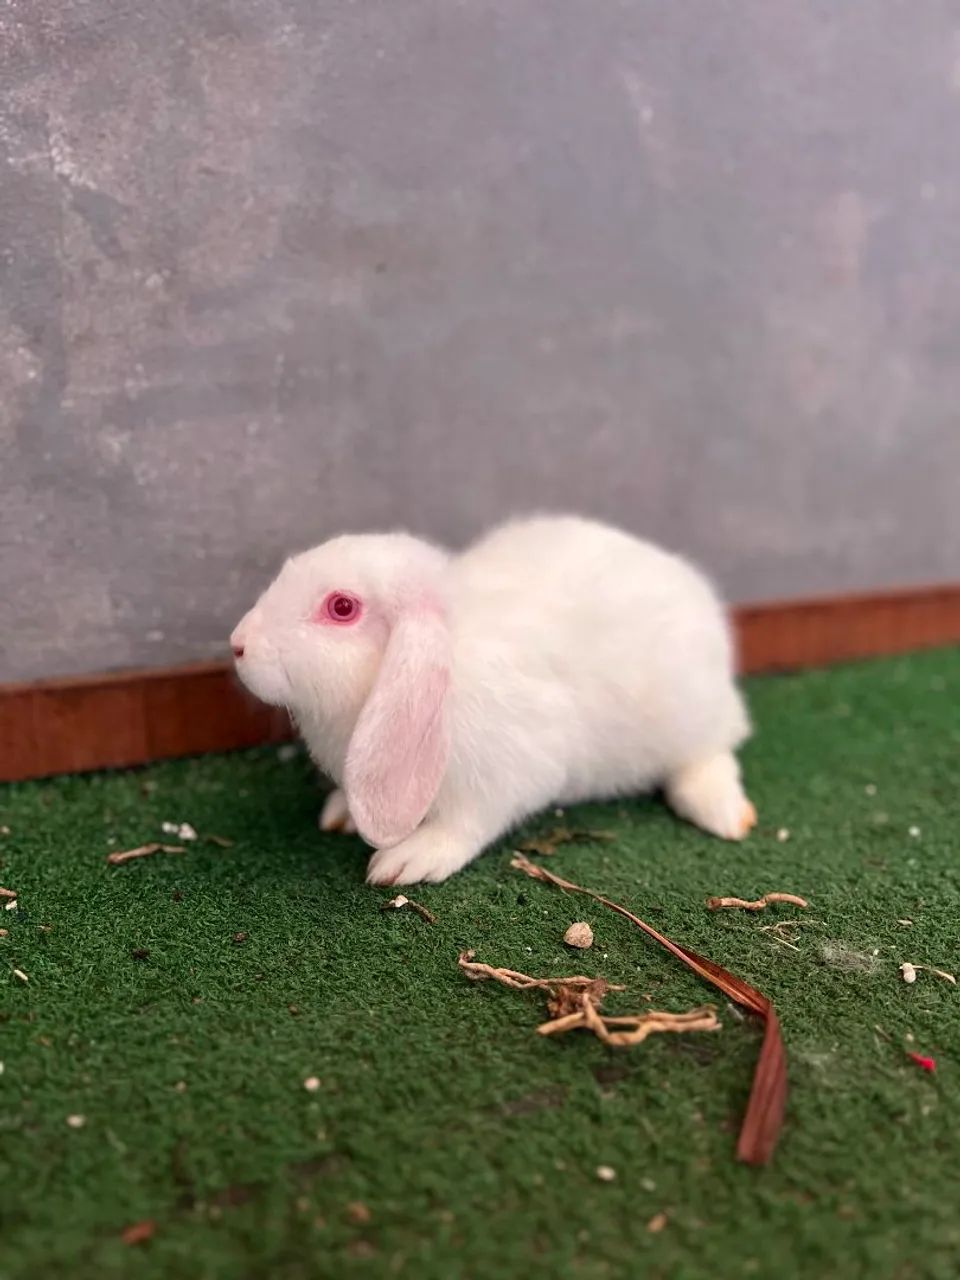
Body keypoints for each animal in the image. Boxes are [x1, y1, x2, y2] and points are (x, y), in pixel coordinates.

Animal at [230, 514, 755, 886]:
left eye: (342, 607)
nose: (238, 645)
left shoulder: (506, 772)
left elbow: (468, 822)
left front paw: (407, 860)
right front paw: (341, 812)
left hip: (691, 717)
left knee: (713, 754)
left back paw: (724, 814)